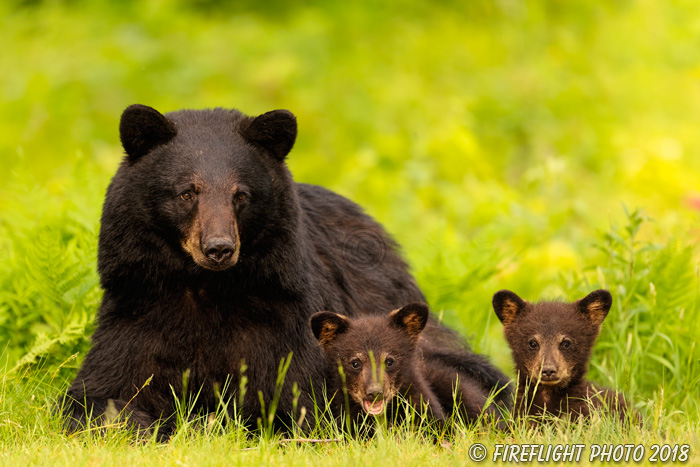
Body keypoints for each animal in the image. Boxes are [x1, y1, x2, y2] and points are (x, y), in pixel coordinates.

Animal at [61, 104, 508, 436]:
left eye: (241, 195)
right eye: (187, 192)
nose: (219, 248)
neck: (206, 287)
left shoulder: (280, 313)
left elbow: (293, 399)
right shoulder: (139, 306)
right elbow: (99, 394)